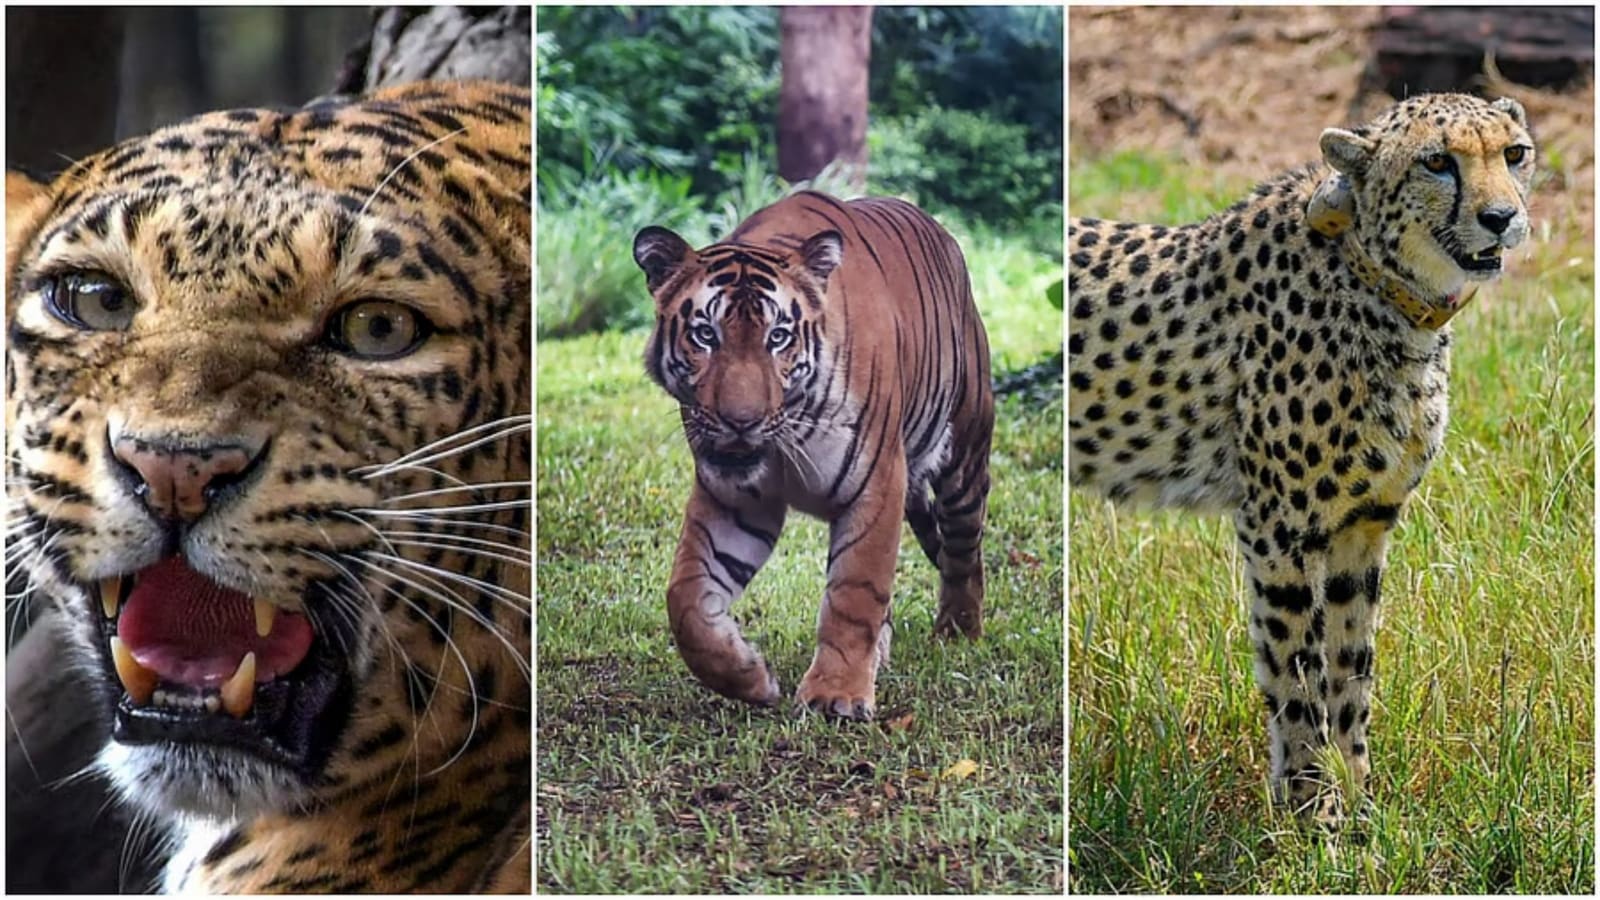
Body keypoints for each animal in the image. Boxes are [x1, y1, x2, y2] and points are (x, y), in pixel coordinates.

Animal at [631, 190, 995, 719]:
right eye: (705, 335)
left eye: (778, 337)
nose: (741, 421)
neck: (787, 436)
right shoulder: (734, 501)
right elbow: (686, 599)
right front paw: (749, 678)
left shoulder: (876, 484)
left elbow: (855, 592)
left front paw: (835, 696)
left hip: (964, 457)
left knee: (964, 552)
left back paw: (957, 633)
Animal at [1068, 93, 1535, 822]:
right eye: (1437, 162)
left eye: (1514, 154)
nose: (1502, 219)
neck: (1380, 285)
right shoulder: (1278, 527)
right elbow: (1295, 672)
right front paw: (1313, 813)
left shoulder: (1362, 525)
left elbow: (1352, 668)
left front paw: (1360, 805)